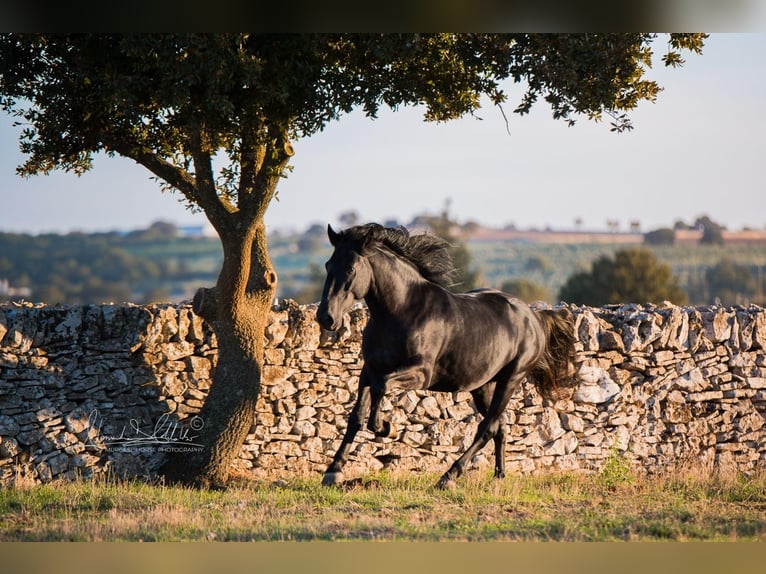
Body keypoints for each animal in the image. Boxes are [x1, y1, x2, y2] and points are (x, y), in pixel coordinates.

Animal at [316, 223, 577, 488]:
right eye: (328, 265)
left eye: (350, 268)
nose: (326, 317)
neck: (401, 311)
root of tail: (533, 316)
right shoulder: (369, 370)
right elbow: (356, 417)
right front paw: (333, 472)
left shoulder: (420, 373)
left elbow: (382, 387)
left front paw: (386, 427)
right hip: (483, 386)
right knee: (500, 427)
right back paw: (499, 476)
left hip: (511, 379)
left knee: (487, 427)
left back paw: (449, 476)